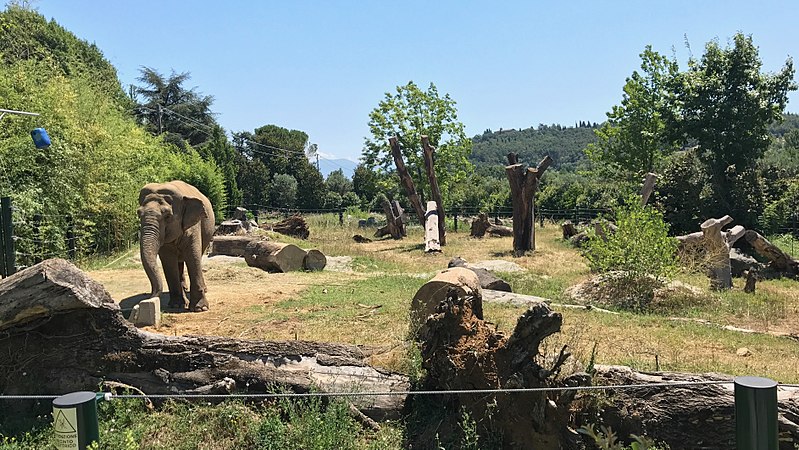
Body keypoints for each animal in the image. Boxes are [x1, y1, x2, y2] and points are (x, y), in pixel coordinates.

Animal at [139, 181, 216, 312]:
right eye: (139, 214)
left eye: (168, 216)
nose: (149, 297)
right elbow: (169, 261)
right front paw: (176, 305)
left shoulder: (194, 226)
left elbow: (193, 257)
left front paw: (200, 308)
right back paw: (183, 291)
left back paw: (202, 290)